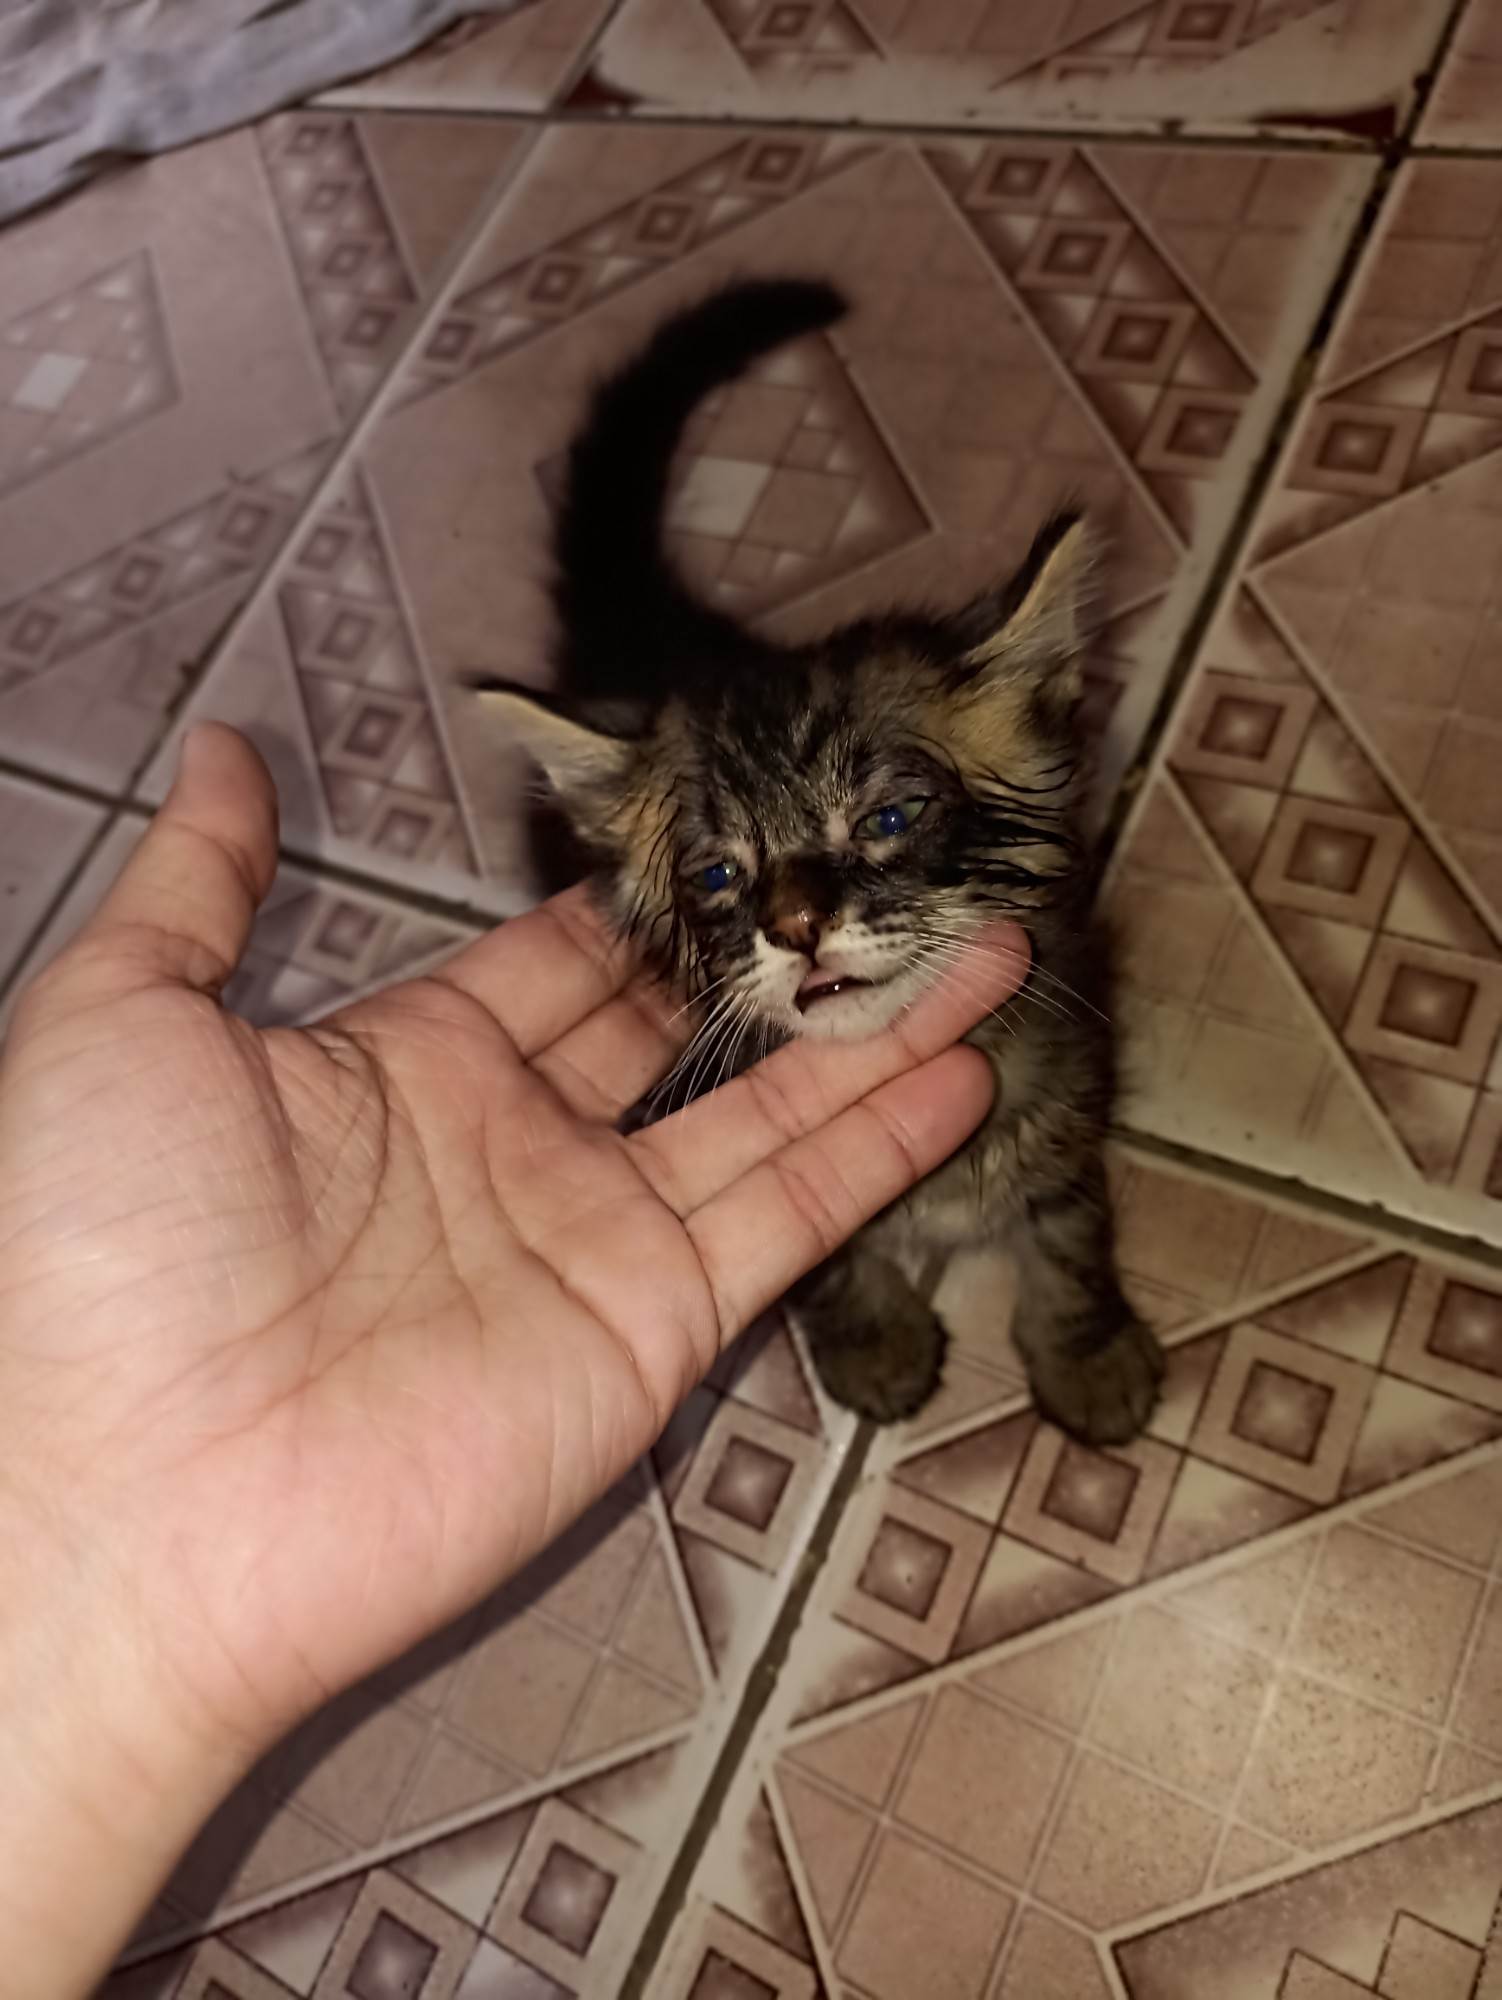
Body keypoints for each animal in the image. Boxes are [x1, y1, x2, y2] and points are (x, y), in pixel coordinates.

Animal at [477, 277, 1164, 1445]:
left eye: (886, 817)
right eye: (719, 876)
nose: (795, 925)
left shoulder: (1076, 1077)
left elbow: (1068, 1233)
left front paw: (1088, 1355)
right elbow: (826, 1265)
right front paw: (871, 1341)